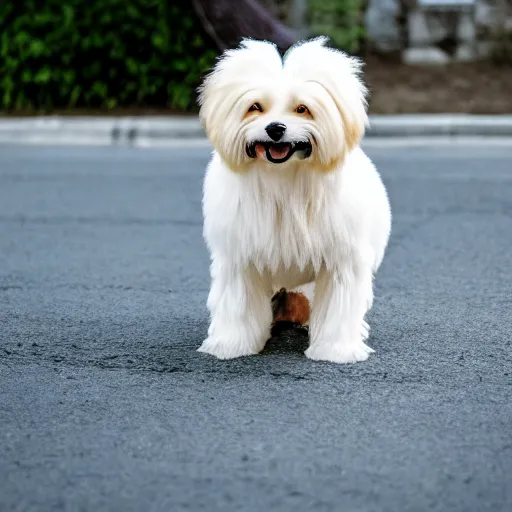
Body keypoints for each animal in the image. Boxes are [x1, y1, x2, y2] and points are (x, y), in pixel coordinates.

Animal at [198, 37, 390, 364]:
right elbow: (238, 303)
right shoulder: (240, 257)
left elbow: (338, 307)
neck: (284, 178)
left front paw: (335, 350)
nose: (275, 128)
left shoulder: (341, 260)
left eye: (302, 109)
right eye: (255, 108)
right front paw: (232, 345)